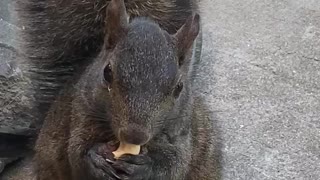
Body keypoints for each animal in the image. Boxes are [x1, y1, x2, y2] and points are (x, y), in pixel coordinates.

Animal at [31, 0, 215, 180]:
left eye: (179, 87)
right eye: (107, 72)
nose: (135, 135)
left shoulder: (181, 134)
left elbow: (175, 164)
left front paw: (145, 167)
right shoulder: (81, 114)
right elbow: (77, 153)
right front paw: (96, 160)